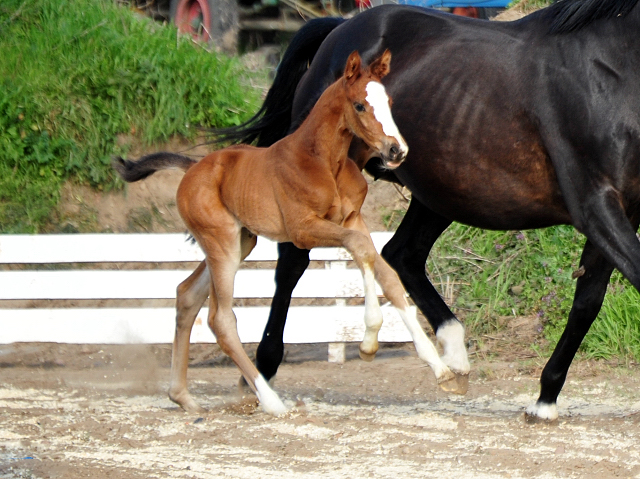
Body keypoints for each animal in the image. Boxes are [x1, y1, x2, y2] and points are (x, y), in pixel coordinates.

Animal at [115, 51, 460, 412]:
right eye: (359, 105)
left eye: (389, 102)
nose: (397, 151)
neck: (323, 161)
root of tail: (193, 167)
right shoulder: (304, 230)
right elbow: (359, 249)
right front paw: (368, 343)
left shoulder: (352, 219)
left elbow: (385, 272)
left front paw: (441, 370)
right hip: (222, 245)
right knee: (220, 319)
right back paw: (270, 401)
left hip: (241, 242)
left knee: (186, 294)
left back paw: (182, 396)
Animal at [218, 0, 640, 420]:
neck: (611, 65)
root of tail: (340, 30)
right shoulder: (594, 204)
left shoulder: (623, 209)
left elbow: (587, 301)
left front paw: (544, 400)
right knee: (293, 262)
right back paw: (261, 374)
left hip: (442, 191)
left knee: (401, 253)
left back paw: (453, 357)